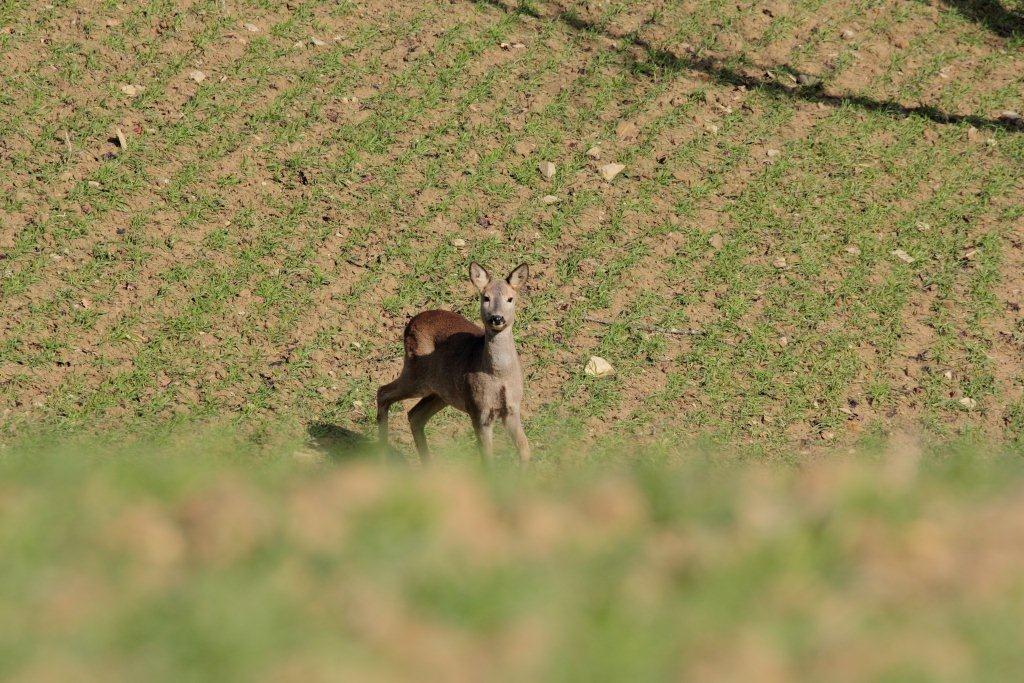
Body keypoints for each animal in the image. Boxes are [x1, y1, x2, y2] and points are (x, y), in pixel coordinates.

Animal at [378, 262, 536, 464]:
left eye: (510, 299)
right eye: (486, 297)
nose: (497, 318)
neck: (498, 376)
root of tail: (410, 322)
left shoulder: (512, 409)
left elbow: (525, 449)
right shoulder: (478, 410)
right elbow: (487, 458)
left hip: (441, 392)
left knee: (415, 415)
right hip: (415, 372)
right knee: (383, 392)